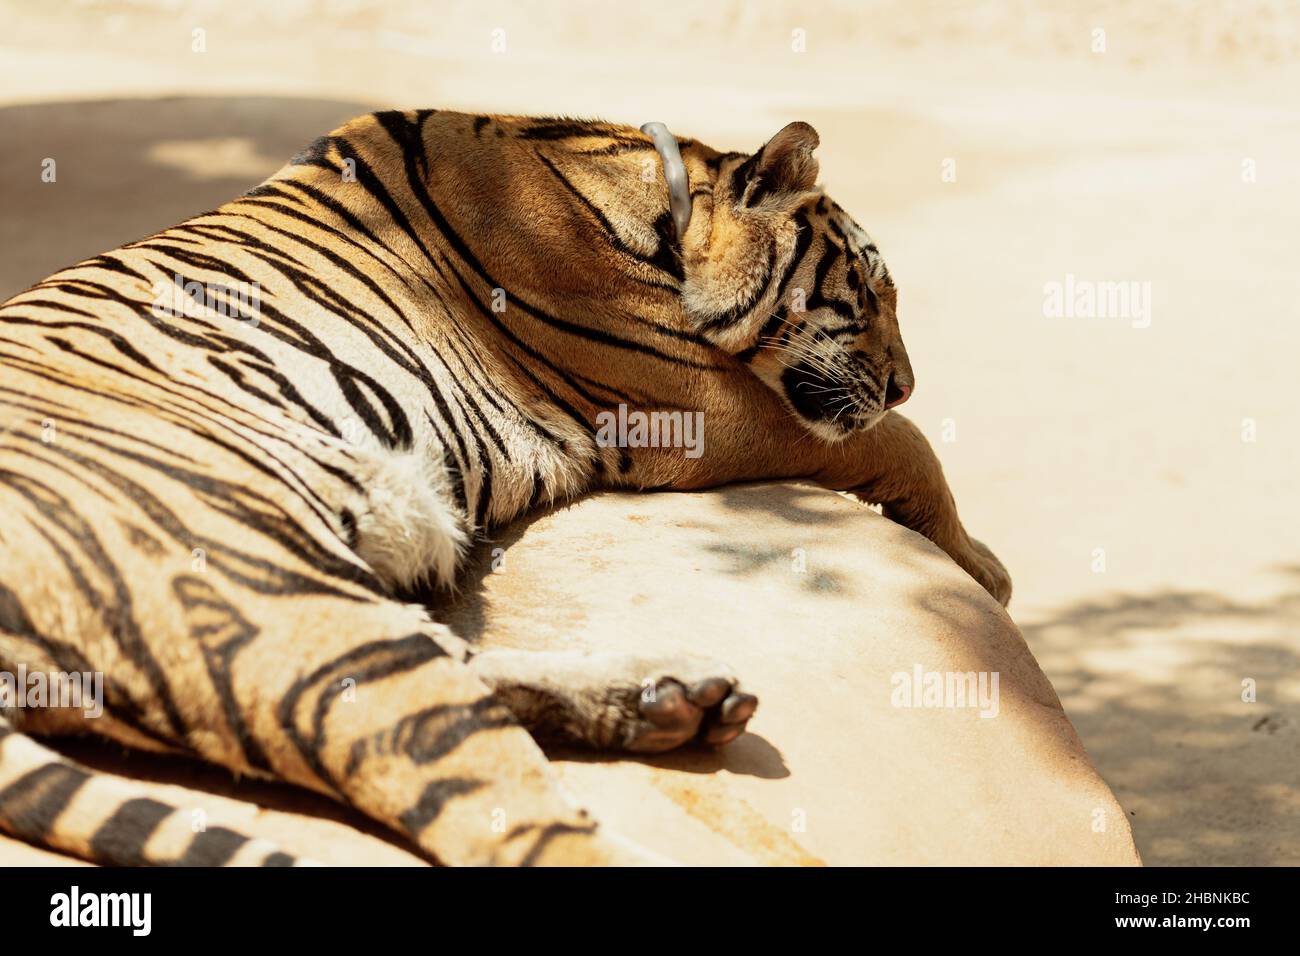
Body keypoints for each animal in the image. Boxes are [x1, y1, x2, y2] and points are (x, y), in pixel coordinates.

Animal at [0, 111, 1013, 868]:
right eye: (869, 290)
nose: (907, 380)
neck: (656, 203)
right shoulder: (688, 404)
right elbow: (901, 445)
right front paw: (986, 569)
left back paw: (663, 697)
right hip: (251, 577)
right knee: (496, 811)